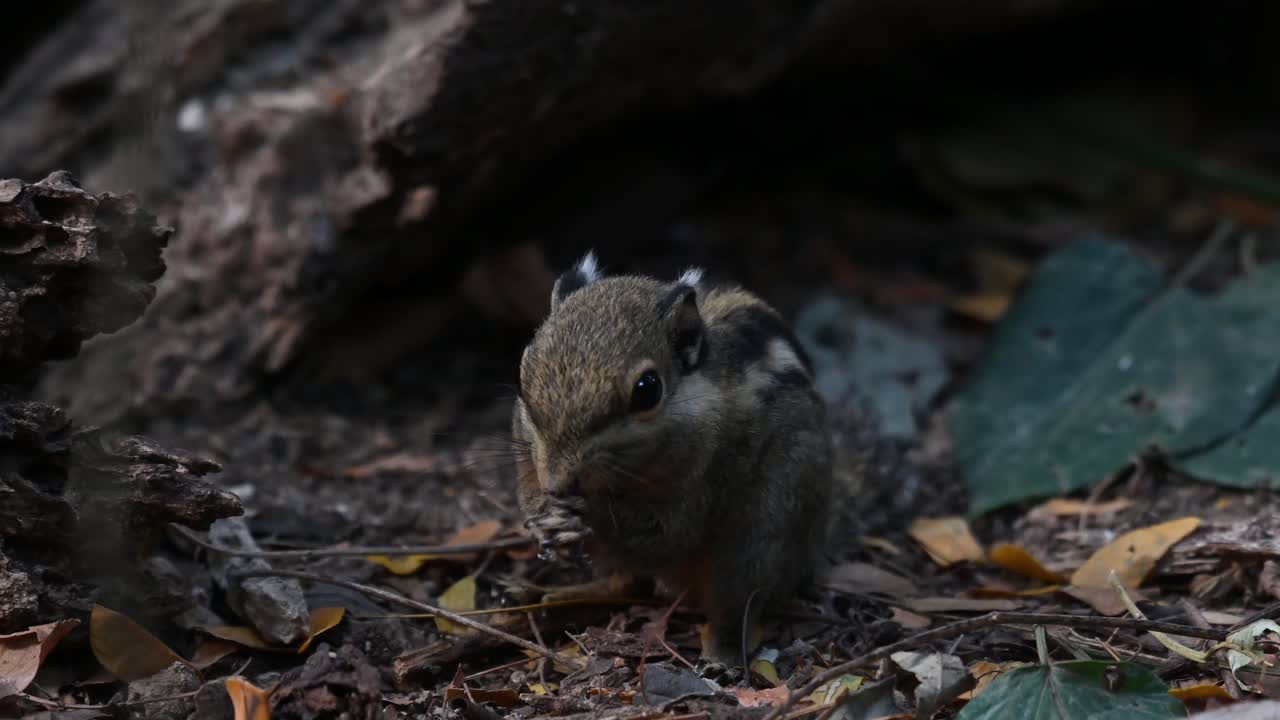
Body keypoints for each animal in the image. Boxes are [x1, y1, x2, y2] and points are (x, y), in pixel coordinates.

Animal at [511, 251, 834, 666]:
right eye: (522, 376)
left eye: (647, 390)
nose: (557, 483)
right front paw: (542, 516)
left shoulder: (700, 484)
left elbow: (667, 533)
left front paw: (587, 515)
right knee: (627, 581)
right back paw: (558, 596)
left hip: (767, 524)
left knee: (739, 603)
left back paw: (722, 655)